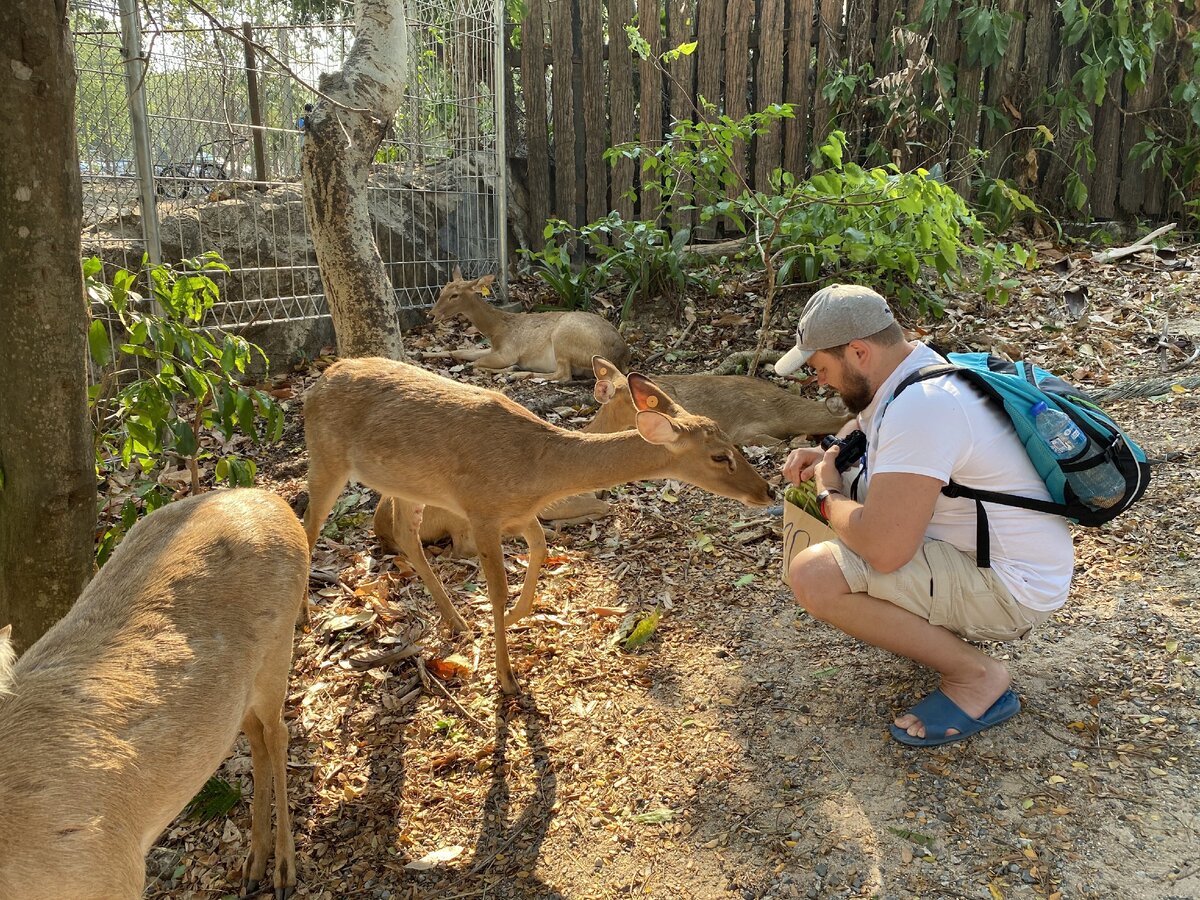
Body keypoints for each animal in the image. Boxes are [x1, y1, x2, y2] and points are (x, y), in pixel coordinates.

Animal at [0, 494, 307, 900]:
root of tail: (273, 501)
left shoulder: (112, 873)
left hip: (278, 645)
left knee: (277, 733)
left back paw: (283, 870)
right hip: (242, 690)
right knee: (256, 736)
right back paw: (254, 863)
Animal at [300, 355, 768, 696]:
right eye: (720, 455)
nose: (766, 490)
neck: (537, 472)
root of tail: (319, 381)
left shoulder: (520, 514)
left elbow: (541, 549)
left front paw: (518, 615)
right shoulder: (481, 510)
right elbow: (497, 587)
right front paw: (507, 680)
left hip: (405, 486)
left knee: (405, 536)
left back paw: (456, 621)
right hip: (326, 455)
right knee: (309, 526)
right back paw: (304, 616)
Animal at [436, 266, 633, 381]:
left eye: (455, 295)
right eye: (442, 289)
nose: (432, 314)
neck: (495, 330)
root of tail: (620, 358)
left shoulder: (507, 352)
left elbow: (476, 363)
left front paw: (510, 368)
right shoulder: (493, 349)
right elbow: (461, 351)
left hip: (563, 337)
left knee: (564, 375)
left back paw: (515, 374)